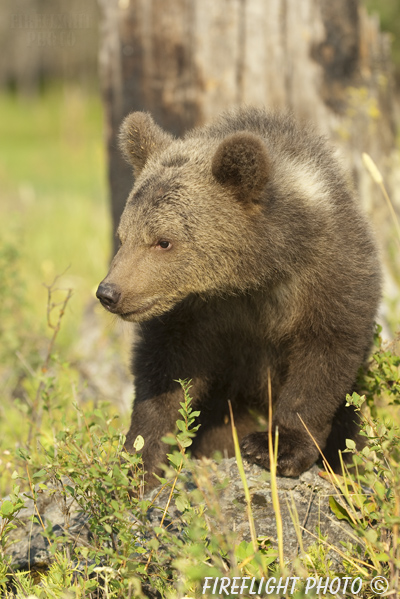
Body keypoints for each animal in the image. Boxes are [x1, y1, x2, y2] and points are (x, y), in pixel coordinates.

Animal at [97, 105, 382, 486]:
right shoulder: (195, 314)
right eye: (123, 235)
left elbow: (324, 357)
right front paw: (140, 458)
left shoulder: (329, 278)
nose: (109, 292)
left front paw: (276, 446)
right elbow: (165, 372)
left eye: (163, 241)